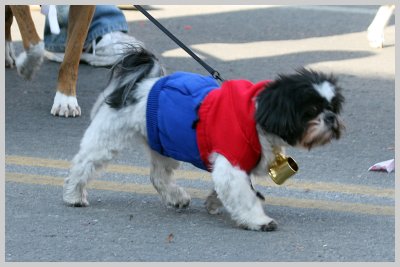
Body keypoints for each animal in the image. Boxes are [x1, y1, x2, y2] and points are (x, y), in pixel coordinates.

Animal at [62, 47, 344, 232]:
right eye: (311, 110)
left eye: (333, 107)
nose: (331, 118)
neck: (257, 116)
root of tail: (139, 83)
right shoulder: (231, 160)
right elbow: (244, 194)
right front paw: (258, 220)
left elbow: (234, 188)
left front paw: (213, 201)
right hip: (108, 137)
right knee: (84, 164)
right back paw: (74, 195)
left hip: (162, 141)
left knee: (159, 175)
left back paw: (175, 197)